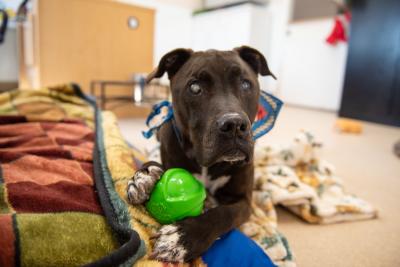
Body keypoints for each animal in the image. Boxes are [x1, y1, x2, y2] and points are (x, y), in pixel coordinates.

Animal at [128, 46, 276, 264]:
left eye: (245, 83)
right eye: (195, 88)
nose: (234, 125)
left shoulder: (243, 201)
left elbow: (223, 213)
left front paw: (182, 238)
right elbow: (152, 163)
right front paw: (143, 177)